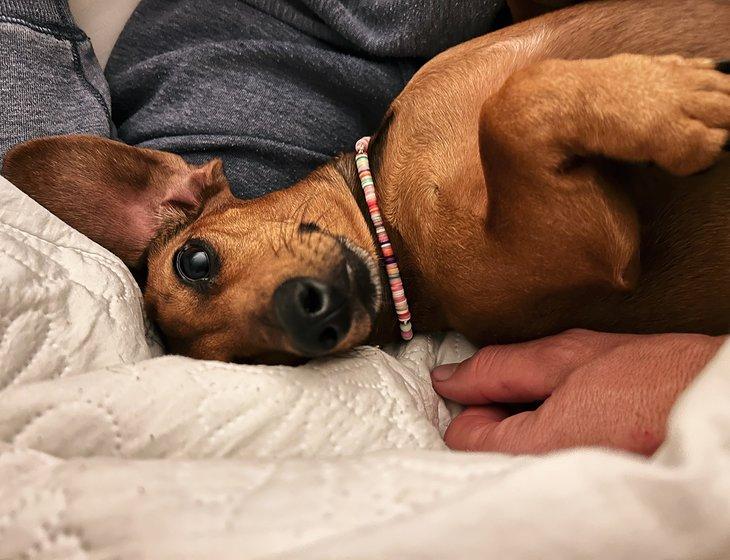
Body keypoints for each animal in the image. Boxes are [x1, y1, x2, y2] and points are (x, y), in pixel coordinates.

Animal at [5, 0, 728, 364]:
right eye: (263, 364)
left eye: (196, 260)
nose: (308, 321)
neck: (396, 236)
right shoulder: (589, 242)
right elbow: (513, 109)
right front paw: (675, 107)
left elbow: (512, 97)